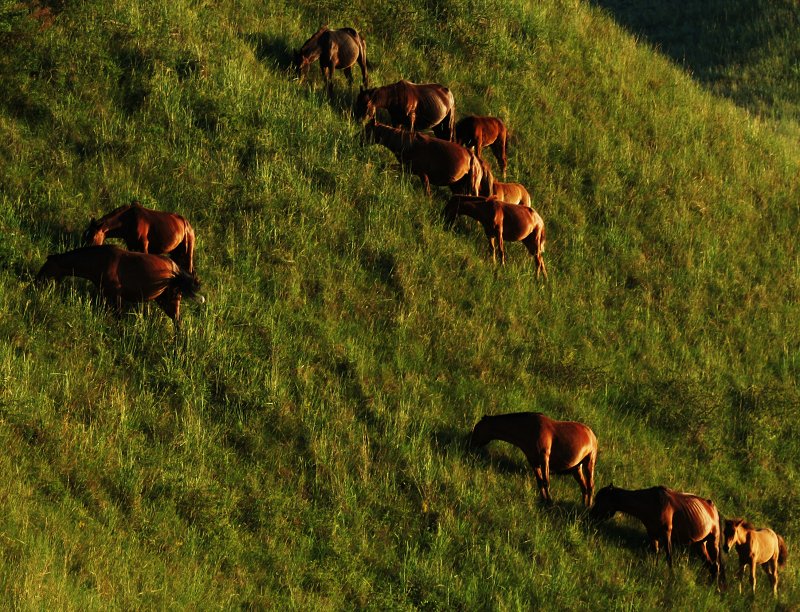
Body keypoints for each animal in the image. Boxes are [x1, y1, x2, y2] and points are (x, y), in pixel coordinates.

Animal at [39, 244, 205, 326]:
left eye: (46, 265)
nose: (37, 280)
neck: (101, 260)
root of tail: (177, 270)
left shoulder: (116, 295)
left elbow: (118, 317)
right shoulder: (105, 294)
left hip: (170, 302)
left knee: (179, 324)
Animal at [588, 486, 724, 584]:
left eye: (600, 500)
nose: (590, 515)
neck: (651, 502)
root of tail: (712, 508)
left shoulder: (666, 534)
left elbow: (669, 558)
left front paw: (671, 577)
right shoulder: (653, 535)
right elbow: (655, 554)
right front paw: (654, 571)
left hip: (713, 541)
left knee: (716, 566)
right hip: (700, 544)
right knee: (711, 566)